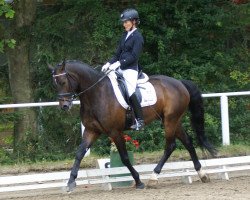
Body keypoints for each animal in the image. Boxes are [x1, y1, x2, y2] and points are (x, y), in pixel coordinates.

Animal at [49, 60, 216, 191]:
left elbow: (124, 157)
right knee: (188, 142)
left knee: (170, 146)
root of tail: (179, 82)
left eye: (63, 82)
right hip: (173, 120)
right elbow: (79, 154)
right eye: (55, 84)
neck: (96, 93)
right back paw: (202, 174)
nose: (64, 106)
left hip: (170, 120)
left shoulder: (115, 131)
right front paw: (70, 183)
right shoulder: (91, 131)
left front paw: (138, 181)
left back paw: (153, 178)